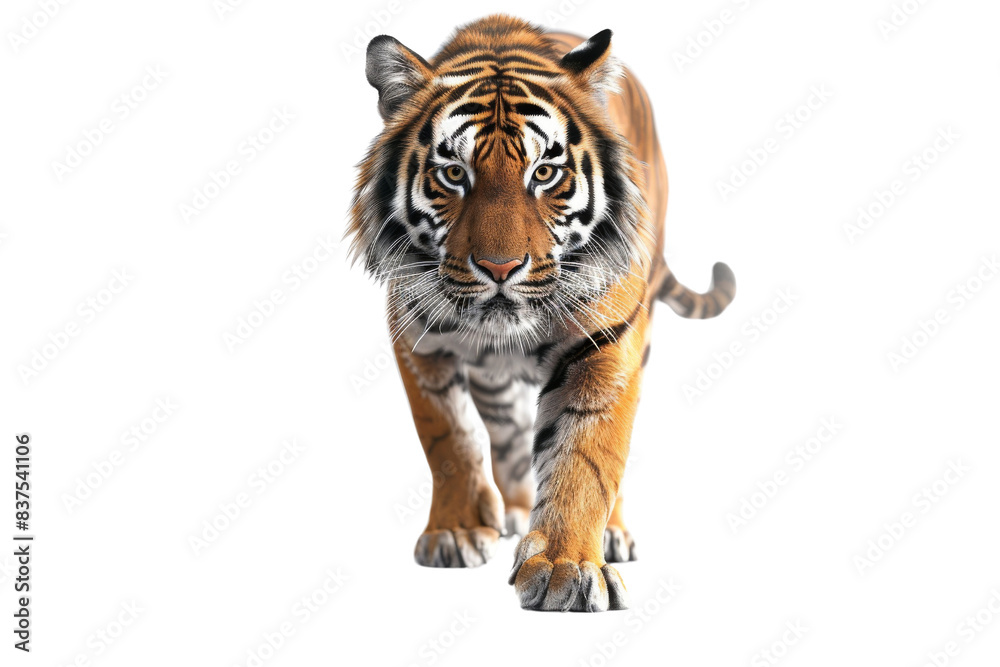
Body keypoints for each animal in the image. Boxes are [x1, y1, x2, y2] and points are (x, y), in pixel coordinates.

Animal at [347, 14, 736, 612]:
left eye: (545, 173)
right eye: (453, 174)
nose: (500, 267)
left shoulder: (606, 343)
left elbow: (585, 459)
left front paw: (565, 568)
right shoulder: (418, 339)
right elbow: (449, 440)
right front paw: (456, 532)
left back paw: (612, 534)